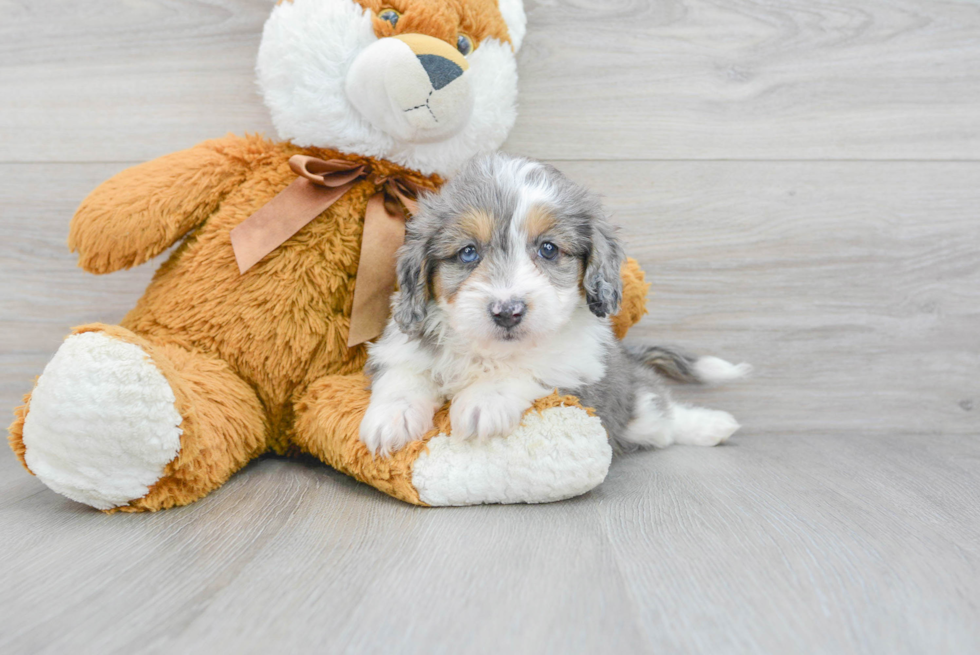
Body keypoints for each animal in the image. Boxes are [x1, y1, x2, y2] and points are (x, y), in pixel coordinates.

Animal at [360, 153, 752, 456]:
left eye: (548, 249)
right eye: (468, 252)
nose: (507, 312)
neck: (490, 352)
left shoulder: (578, 363)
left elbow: (533, 366)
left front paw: (485, 398)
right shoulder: (400, 345)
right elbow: (404, 374)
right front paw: (392, 417)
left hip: (634, 405)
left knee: (660, 412)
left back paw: (710, 424)